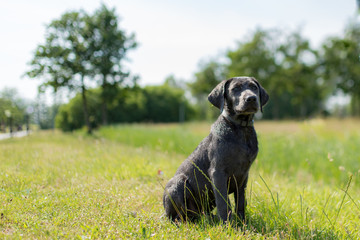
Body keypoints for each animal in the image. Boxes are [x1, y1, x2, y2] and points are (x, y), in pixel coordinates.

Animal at [162, 77, 268, 223]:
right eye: (235, 88)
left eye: (254, 87)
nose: (251, 98)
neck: (241, 128)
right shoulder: (217, 172)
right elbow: (224, 202)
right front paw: (228, 224)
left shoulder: (244, 176)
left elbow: (240, 202)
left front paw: (243, 222)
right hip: (177, 183)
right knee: (176, 217)